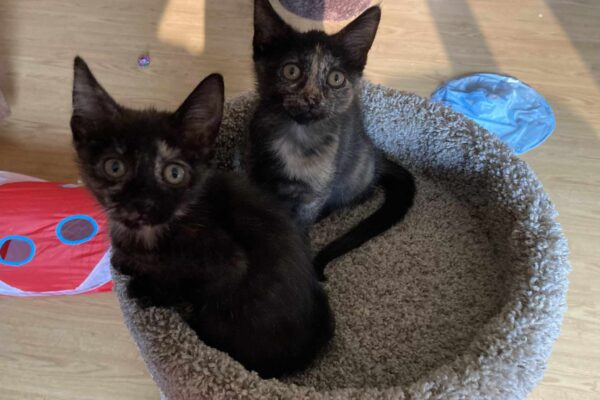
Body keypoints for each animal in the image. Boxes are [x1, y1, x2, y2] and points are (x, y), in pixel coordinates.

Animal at [71, 57, 332, 378]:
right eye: (114, 167)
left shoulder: (228, 263)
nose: (142, 203)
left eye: (174, 173)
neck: (151, 233)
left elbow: (184, 282)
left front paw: (147, 289)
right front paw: (126, 262)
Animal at [248, 0, 418, 280]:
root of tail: (378, 158)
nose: (312, 98)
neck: (294, 138)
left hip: (352, 175)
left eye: (335, 78)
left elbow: (297, 226)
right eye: (291, 71)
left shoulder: (313, 194)